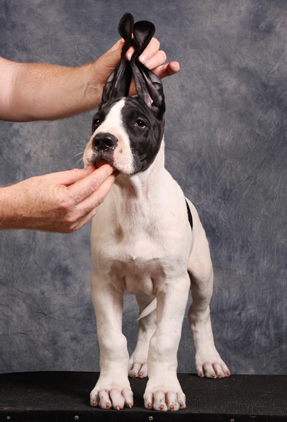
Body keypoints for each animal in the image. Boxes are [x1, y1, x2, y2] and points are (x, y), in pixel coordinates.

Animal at [82, 12, 230, 412]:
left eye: (139, 123)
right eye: (97, 121)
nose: (102, 141)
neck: (135, 201)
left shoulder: (175, 284)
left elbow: (167, 338)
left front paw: (164, 389)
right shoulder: (104, 284)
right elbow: (111, 339)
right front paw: (112, 387)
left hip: (201, 275)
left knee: (198, 315)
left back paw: (209, 360)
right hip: (146, 288)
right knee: (146, 323)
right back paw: (138, 362)